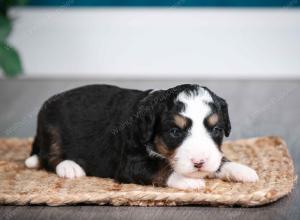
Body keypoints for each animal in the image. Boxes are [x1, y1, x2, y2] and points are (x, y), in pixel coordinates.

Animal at [25, 84, 258, 189]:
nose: (199, 162)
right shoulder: (130, 163)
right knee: (49, 157)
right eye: (175, 132)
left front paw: (241, 170)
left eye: (216, 130)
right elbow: (161, 169)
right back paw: (69, 167)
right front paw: (188, 180)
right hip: (52, 130)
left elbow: (219, 160)